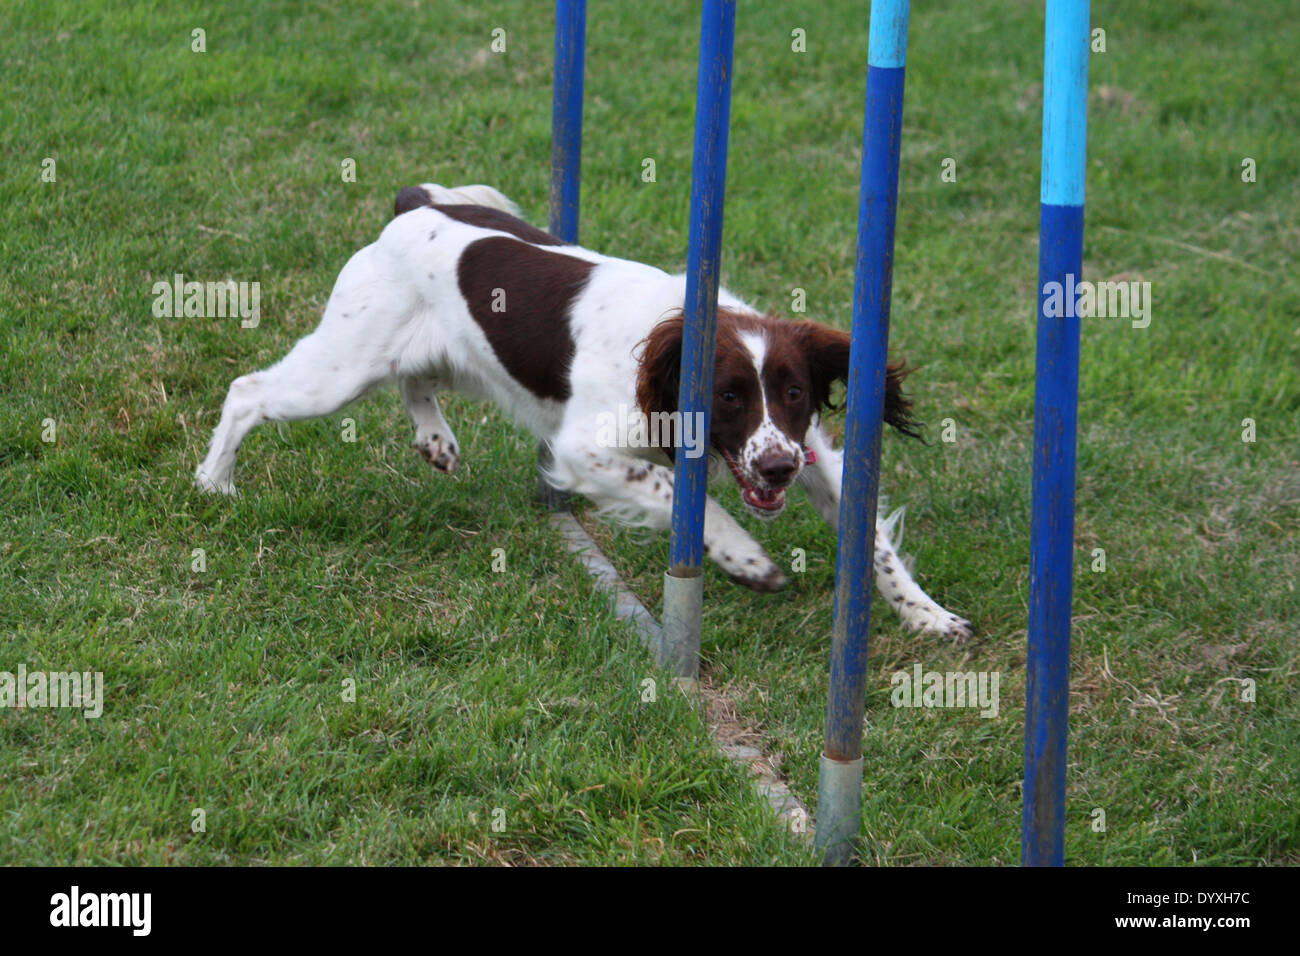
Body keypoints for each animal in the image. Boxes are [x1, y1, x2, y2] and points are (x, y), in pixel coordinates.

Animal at [192, 183, 967, 639]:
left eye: (795, 392)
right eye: (729, 396)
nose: (775, 470)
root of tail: (415, 206)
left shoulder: (810, 451)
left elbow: (872, 539)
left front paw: (929, 615)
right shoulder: (582, 448)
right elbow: (677, 492)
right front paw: (747, 558)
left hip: (447, 356)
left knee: (415, 383)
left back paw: (436, 440)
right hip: (342, 367)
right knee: (248, 390)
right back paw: (215, 483)